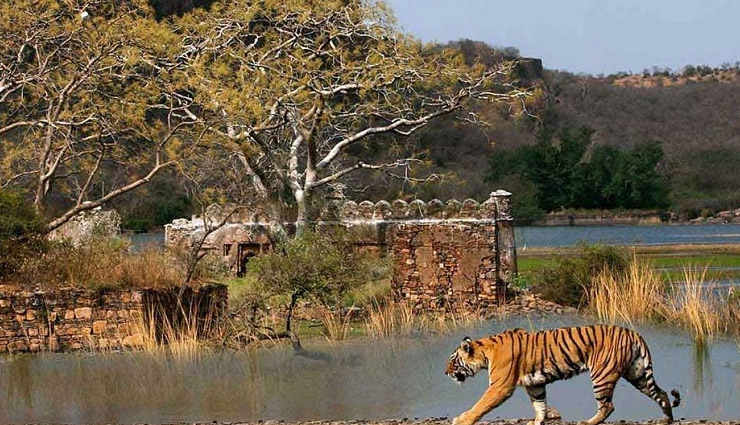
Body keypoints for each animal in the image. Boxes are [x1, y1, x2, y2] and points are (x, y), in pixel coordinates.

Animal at [445, 325, 680, 425]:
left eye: (453, 360)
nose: (445, 372)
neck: (485, 352)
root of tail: (634, 333)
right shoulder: (534, 384)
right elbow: (540, 405)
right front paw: (536, 422)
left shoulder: (500, 386)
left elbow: (480, 405)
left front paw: (462, 420)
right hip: (637, 374)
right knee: (662, 394)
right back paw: (666, 419)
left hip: (602, 375)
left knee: (608, 406)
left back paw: (587, 423)